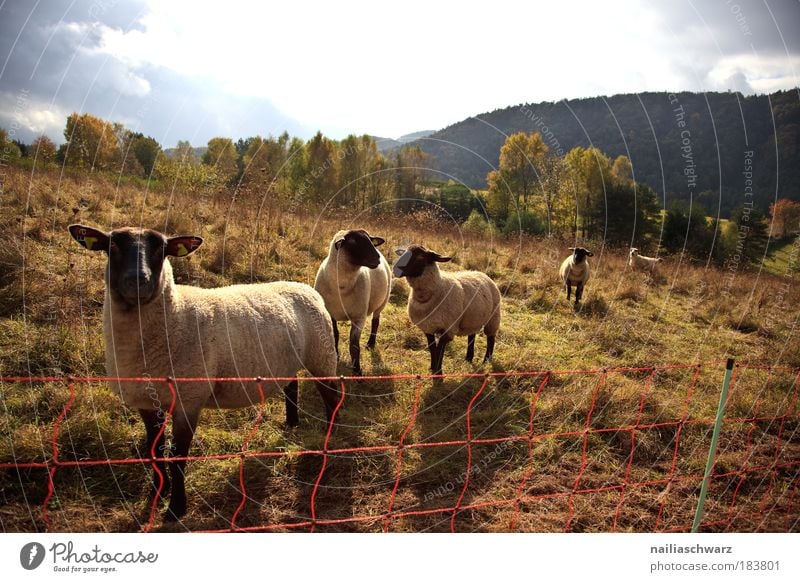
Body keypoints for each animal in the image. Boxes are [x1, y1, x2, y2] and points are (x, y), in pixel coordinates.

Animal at [69, 226, 340, 524]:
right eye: (112, 245)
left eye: (161, 248)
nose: (137, 281)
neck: (173, 314)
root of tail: (305, 287)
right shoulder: (146, 402)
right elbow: (154, 450)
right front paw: (156, 493)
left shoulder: (189, 400)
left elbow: (178, 456)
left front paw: (175, 509)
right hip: (287, 360)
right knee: (292, 385)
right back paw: (291, 423)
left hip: (322, 355)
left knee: (332, 395)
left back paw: (330, 435)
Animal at [312, 230, 390, 376]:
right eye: (353, 241)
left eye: (370, 240)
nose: (377, 258)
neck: (342, 287)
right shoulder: (330, 313)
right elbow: (335, 335)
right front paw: (336, 356)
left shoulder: (358, 317)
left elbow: (354, 346)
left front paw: (357, 370)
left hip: (382, 302)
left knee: (375, 322)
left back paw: (371, 344)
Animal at [390, 244, 496, 376]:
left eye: (420, 257)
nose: (395, 269)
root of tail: (480, 273)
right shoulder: (428, 327)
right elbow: (432, 348)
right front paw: (432, 367)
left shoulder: (448, 328)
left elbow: (440, 349)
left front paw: (438, 372)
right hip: (472, 319)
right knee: (471, 336)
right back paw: (468, 358)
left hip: (494, 317)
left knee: (491, 338)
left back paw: (487, 360)